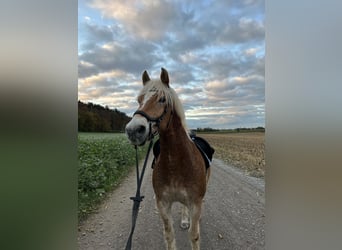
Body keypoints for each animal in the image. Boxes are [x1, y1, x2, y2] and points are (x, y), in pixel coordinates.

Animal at [125, 67, 210, 249]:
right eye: (139, 100)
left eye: (162, 99)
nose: (133, 130)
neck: (176, 161)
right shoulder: (163, 204)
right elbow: (169, 235)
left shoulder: (195, 203)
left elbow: (194, 236)